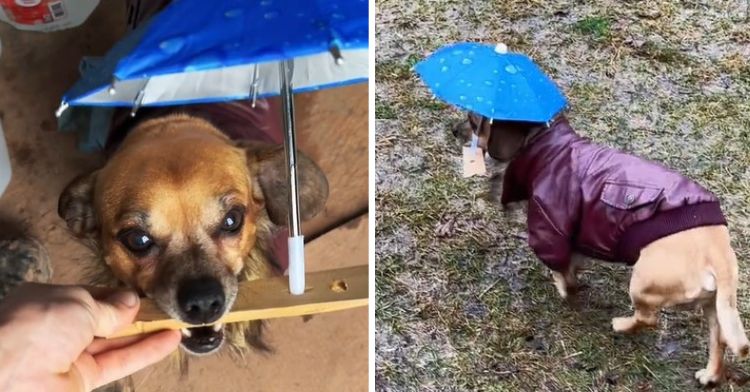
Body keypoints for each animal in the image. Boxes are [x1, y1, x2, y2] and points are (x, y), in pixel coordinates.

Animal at [456, 112, 748, 384]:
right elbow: (573, 263)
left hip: (641, 284)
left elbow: (560, 268)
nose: (454, 131)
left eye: (473, 120)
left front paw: (564, 288)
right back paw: (709, 375)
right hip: (714, 310)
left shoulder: (550, 226)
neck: (545, 142)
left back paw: (620, 324)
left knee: (648, 318)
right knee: (719, 341)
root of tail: (718, 253)